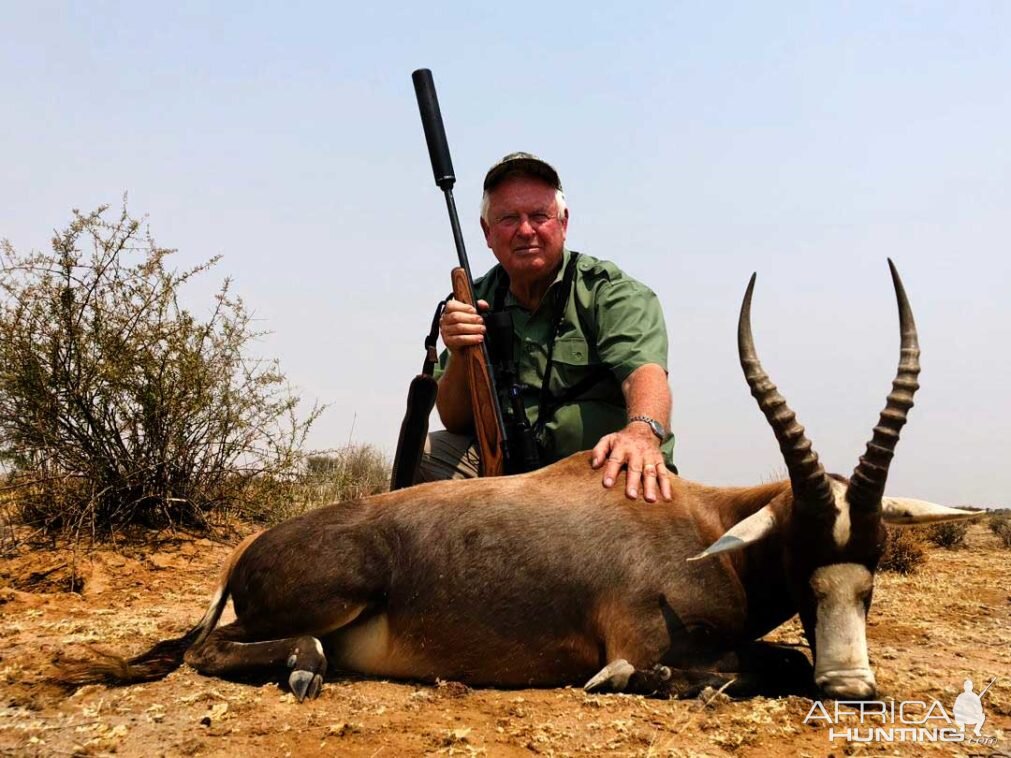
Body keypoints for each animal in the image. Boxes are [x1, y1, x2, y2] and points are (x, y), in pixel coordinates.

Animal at [61, 264, 970, 703]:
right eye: (801, 560)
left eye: (870, 572)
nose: (850, 689)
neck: (699, 526)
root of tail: (244, 553)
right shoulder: (638, 640)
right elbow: (726, 668)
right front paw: (654, 685)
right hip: (329, 594)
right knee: (218, 649)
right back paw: (306, 668)